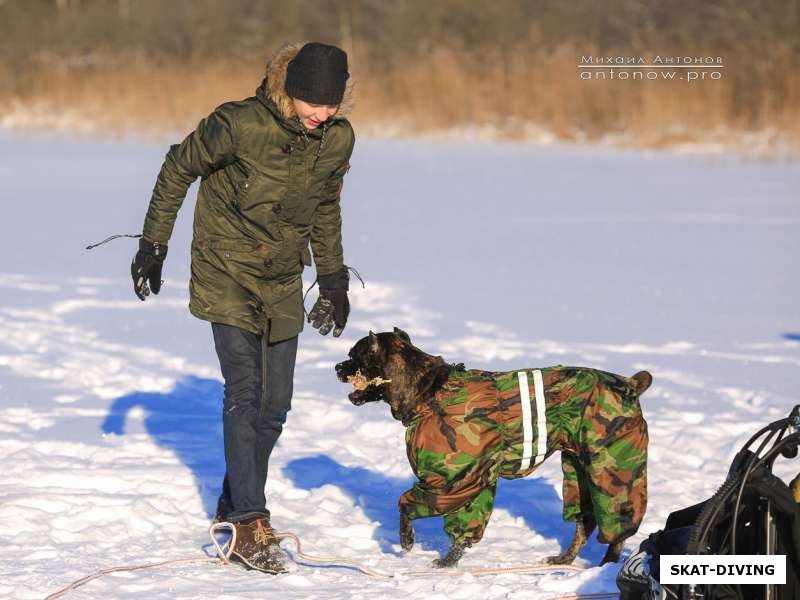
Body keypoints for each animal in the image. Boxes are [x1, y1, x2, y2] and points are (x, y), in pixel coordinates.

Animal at [334, 328, 652, 568]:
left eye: (353, 356)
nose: (337, 366)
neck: (430, 393)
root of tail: (630, 384)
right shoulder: (473, 483)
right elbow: (463, 529)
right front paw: (450, 562)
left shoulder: (447, 483)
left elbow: (404, 503)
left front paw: (407, 541)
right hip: (579, 473)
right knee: (585, 522)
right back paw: (564, 560)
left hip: (611, 467)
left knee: (618, 522)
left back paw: (607, 565)